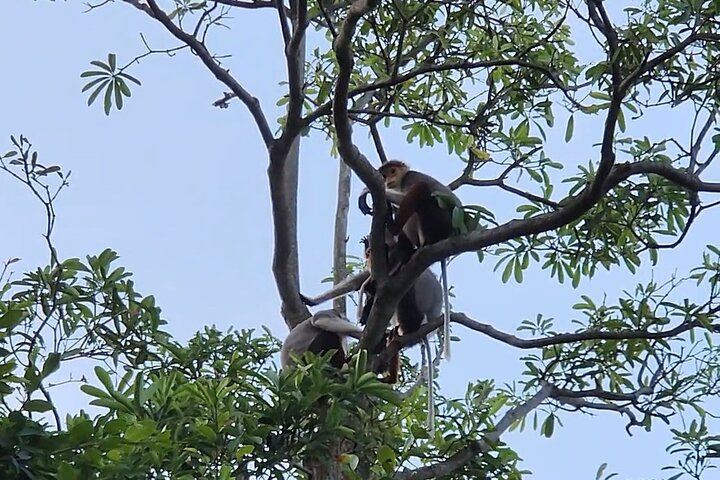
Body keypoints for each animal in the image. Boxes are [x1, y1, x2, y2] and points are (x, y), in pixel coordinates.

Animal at [358, 160, 462, 360]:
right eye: (385, 175)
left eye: (393, 171)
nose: (388, 180)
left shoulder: (410, 177)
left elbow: (414, 189)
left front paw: (365, 192)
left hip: (437, 222)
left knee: (421, 191)